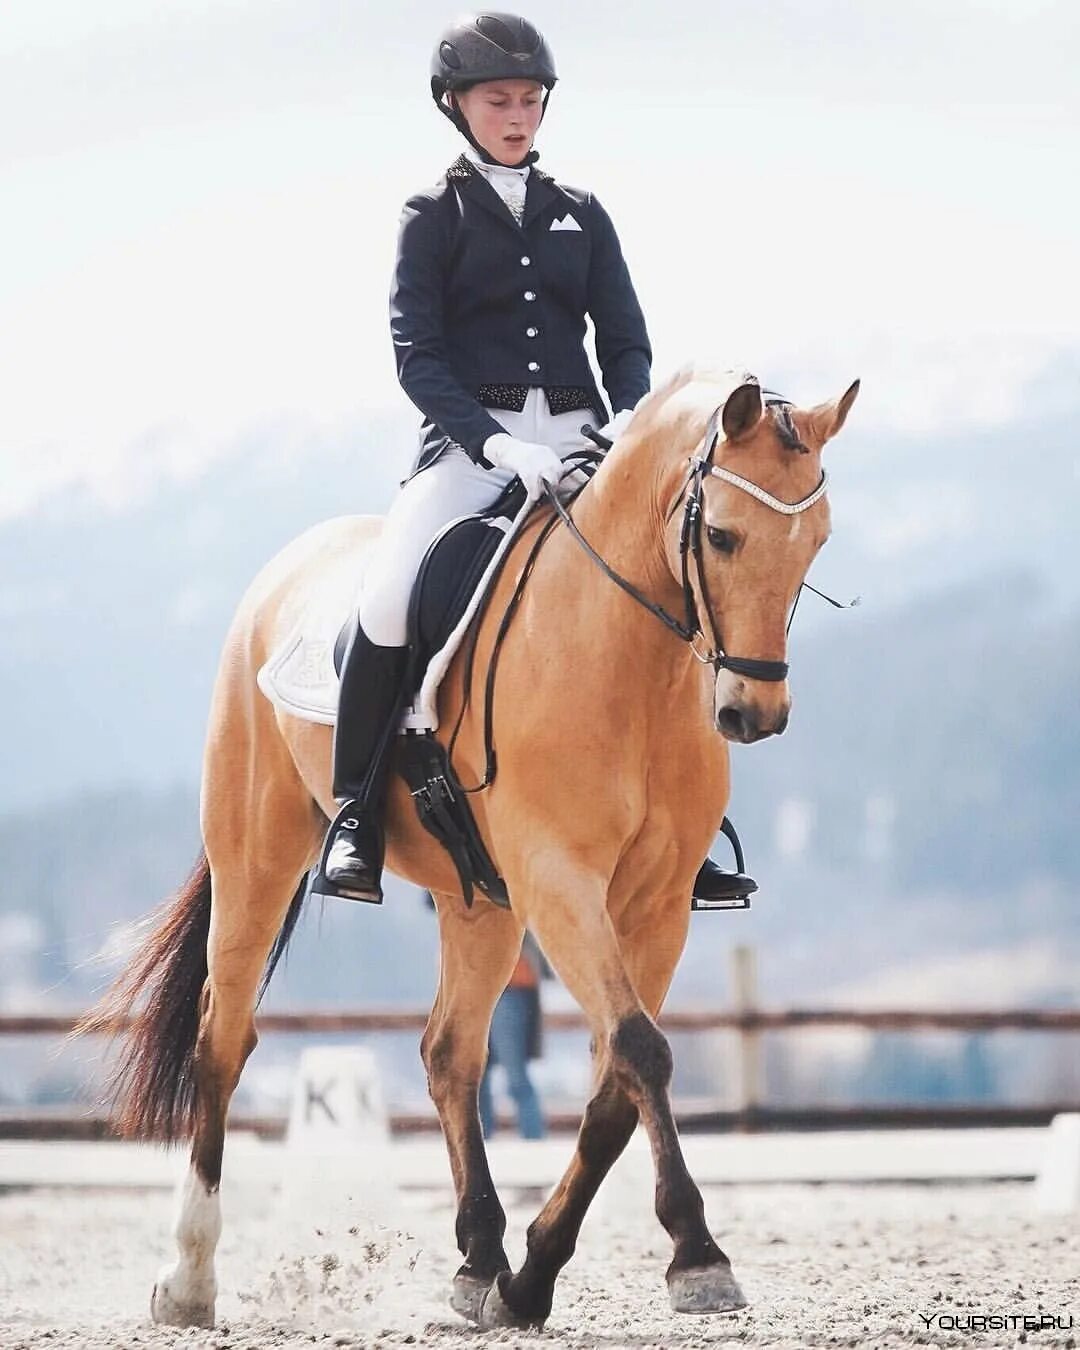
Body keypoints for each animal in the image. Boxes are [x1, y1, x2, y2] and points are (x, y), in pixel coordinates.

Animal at [80, 367, 858, 1328]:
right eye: (721, 534)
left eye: (816, 543)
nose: (756, 714)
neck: (625, 658)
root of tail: (285, 569)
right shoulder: (559, 881)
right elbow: (641, 1052)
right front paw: (697, 1255)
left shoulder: (657, 905)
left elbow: (616, 1076)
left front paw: (533, 1274)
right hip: (256, 856)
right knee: (222, 1040)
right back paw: (189, 1281)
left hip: (477, 899)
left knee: (450, 1053)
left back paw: (481, 1260)